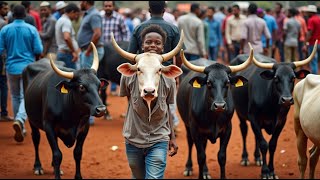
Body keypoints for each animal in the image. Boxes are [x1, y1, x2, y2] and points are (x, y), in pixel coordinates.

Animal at [22, 43, 108, 179]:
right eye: (81, 87)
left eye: (99, 85)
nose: (102, 109)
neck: (71, 114)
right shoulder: (49, 127)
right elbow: (57, 155)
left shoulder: (84, 128)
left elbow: (77, 153)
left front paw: (78, 177)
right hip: (31, 119)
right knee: (36, 139)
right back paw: (38, 166)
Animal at [178, 47, 252, 179]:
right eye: (208, 83)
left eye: (227, 82)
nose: (219, 106)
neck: (214, 118)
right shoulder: (195, 130)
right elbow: (201, 156)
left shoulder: (227, 129)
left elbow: (221, 156)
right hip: (187, 125)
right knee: (190, 142)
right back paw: (188, 167)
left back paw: (206, 172)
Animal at [230, 44, 318, 179]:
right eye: (276, 78)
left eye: (293, 78)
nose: (286, 100)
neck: (271, 105)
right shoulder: (254, 118)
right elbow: (263, 144)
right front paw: (265, 172)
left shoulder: (281, 121)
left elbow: (272, 144)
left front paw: (272, 171)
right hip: (240, 113)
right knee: (244, 130)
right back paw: (245, 158)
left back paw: (257, 158)